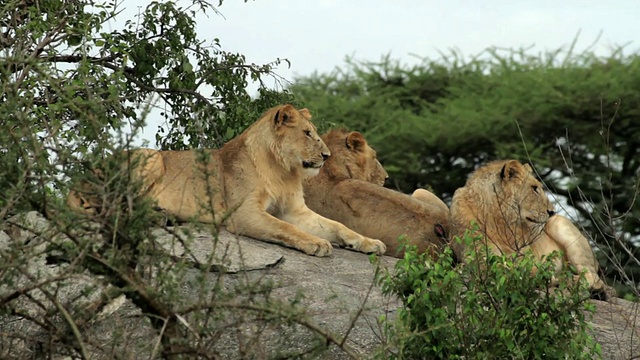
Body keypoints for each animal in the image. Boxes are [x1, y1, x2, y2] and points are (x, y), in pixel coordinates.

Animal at [67, 103, 388, 256]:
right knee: (111, 207)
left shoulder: (295, 209)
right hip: (151, 157)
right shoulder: (244, 213)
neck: (283, 170)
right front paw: (316, 243)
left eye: (316, 133)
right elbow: (284, 228)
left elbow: (337, 226)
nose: (325, 155)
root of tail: (77, 180)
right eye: (308, 133)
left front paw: (370, 242)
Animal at [448, 159, 612, 296]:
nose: (552, 211)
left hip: (560, 226)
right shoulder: (477, 256)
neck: (499, 222)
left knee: (593, 279)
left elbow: (523, 269)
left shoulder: (525, 256)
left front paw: (544, 276)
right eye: (534, 188)